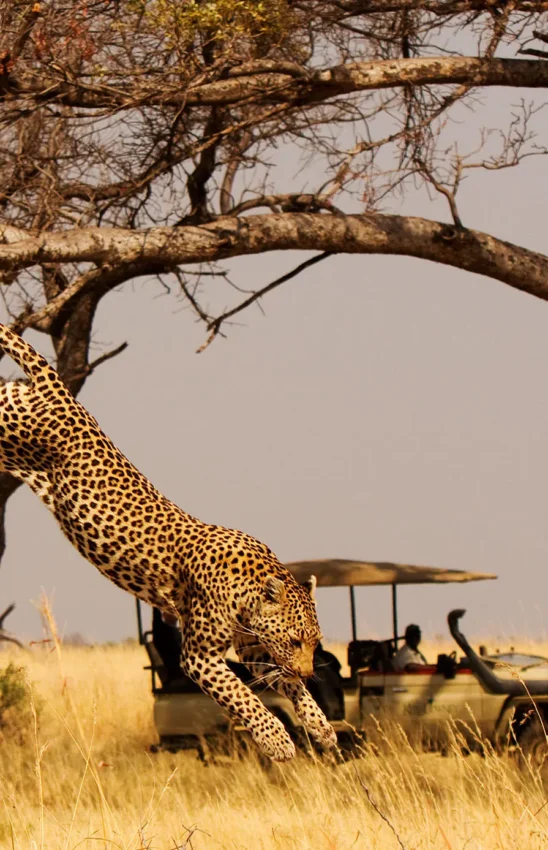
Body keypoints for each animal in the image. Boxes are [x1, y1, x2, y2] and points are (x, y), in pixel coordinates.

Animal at [0, 323, 337, 761]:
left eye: (315, 643)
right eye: (296, 640)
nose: (310, 671)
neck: (249, 590)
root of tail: (60, 390)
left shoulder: (254, 650)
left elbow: (286, 685)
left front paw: (320, 725)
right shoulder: (199, 657)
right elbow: (244, 698)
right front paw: (277, 740)